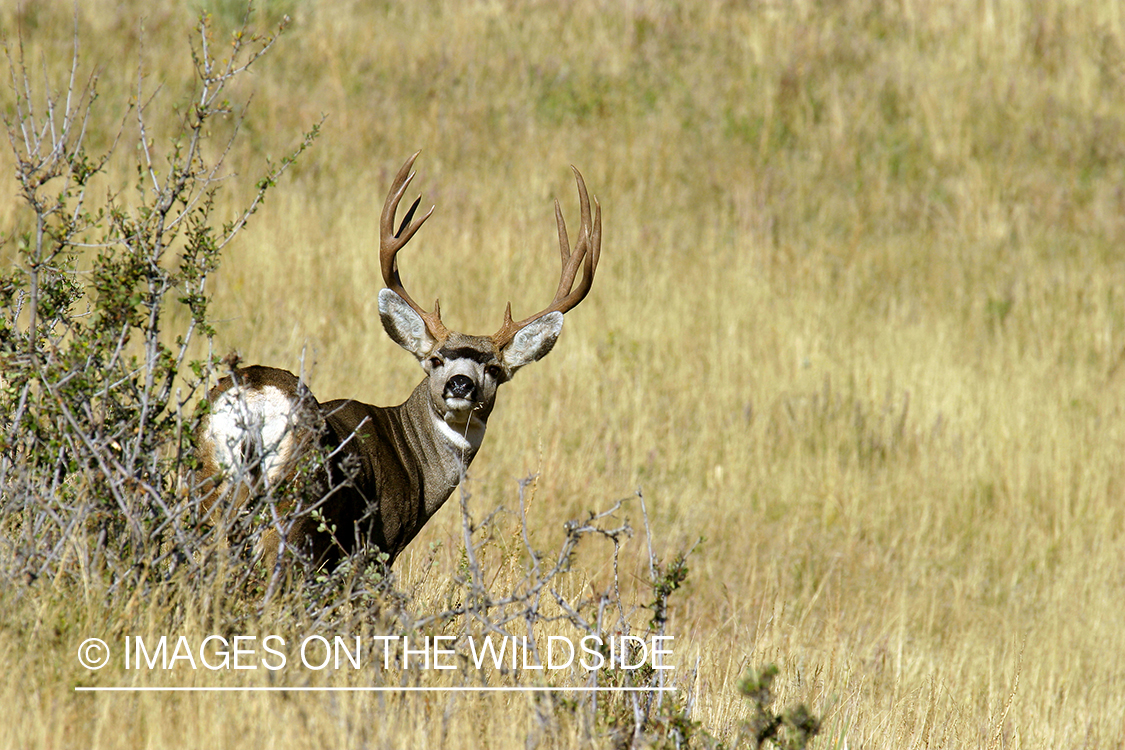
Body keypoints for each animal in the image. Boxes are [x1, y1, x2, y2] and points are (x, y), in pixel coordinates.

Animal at [192, 152, 601, 571]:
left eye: (494, 369)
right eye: (435, 359)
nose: (460, 384)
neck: (412, 461)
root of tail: (255, 395)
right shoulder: (376, 544)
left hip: (206, 483)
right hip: (296, 506)